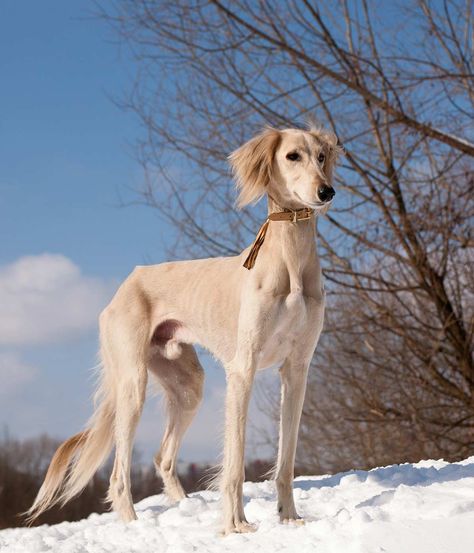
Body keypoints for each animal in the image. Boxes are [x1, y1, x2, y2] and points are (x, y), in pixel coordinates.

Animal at [26, 124, 340, 532]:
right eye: (292, 156)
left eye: (321, 156)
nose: (326, 192)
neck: (291, 261)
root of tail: (126, 283)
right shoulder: (243, 368)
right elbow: (234, 461)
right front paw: (235, 526)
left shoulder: (297, 369)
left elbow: (286, 459)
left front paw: (289, 518)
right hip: (133, 384)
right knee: (119, 474)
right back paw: (134, 524)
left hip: (188, 385)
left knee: (163, 457)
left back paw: (181, 507)